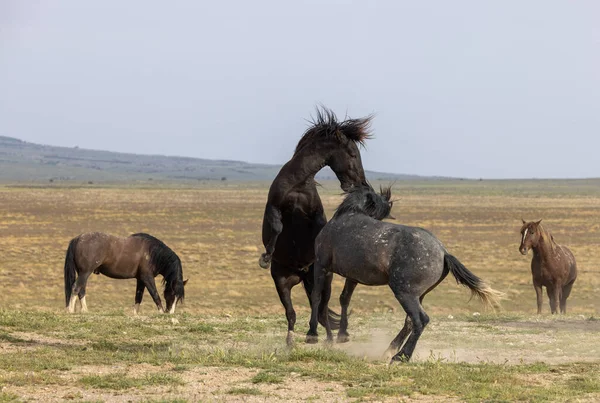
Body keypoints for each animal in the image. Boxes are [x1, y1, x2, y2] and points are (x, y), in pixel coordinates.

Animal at [260, 107, 372, 348]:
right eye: (352, 154)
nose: (362, 183)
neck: (299, 183)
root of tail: (302, 273)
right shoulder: (273, 206)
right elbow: (276, 228)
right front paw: (265, 257)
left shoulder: (316, 215)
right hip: (282, 282)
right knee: (292, 313)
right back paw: (291, 341)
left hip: (322, 279)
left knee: (320, 308)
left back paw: (326, 338)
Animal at [304, 186, 502, 362]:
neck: (346, 216)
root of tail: (443, 252)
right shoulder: (352, 276)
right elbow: (344, 299)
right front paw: (342, 335)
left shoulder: (321, 266)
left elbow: (317, 297)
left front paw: (313, 335)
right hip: (418, 295)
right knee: (410, 322)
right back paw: (389, 351)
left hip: (404, 292)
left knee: (420, 320)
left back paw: (401, 356)